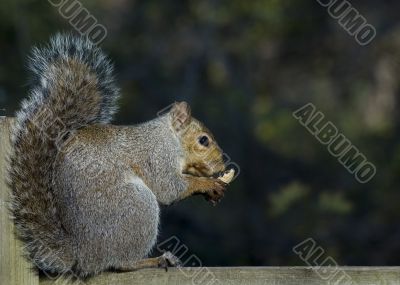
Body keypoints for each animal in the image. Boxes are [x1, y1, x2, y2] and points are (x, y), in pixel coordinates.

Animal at [7, 33, 236, 278]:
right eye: (203, 140)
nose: (223, 163)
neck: (169, 138)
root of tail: (83, 255)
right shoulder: (156, 156)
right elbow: (169, 188)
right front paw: (206, 184)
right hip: (136, 206)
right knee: (121, 263)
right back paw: (154, 260)